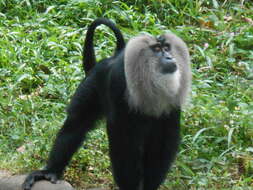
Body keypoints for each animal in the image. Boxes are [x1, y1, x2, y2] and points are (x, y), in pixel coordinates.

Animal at [22, 17, 192, 190]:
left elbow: (164, 141)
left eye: (166, 48)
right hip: (92, 87)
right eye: (157, 49)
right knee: (76, 124)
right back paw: (51, 171)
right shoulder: (119, 83)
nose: (170, 57)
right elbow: (121, 141)